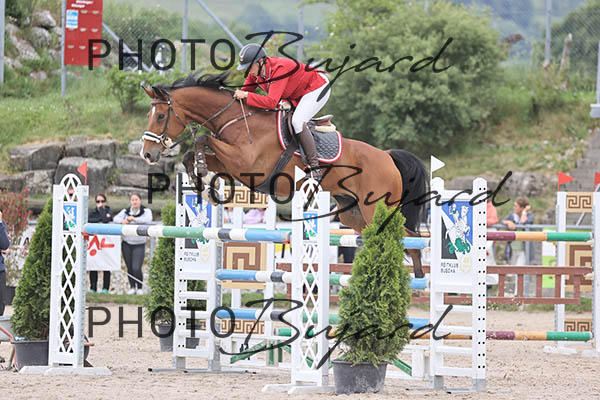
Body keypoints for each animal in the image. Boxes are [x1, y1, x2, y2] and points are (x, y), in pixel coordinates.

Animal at [141, 72, 428, 278]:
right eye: (149, 114)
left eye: (161, 116)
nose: (147, 154)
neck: (237, 120)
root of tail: (388, 156)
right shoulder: (232, 163)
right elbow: (194, 152)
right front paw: (200, 179)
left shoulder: (245, 163)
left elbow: (203, 139)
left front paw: (202, 175)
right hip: (354, 213)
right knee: (399, 237)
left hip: (377, 206)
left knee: (409, 238)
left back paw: (416, 281)